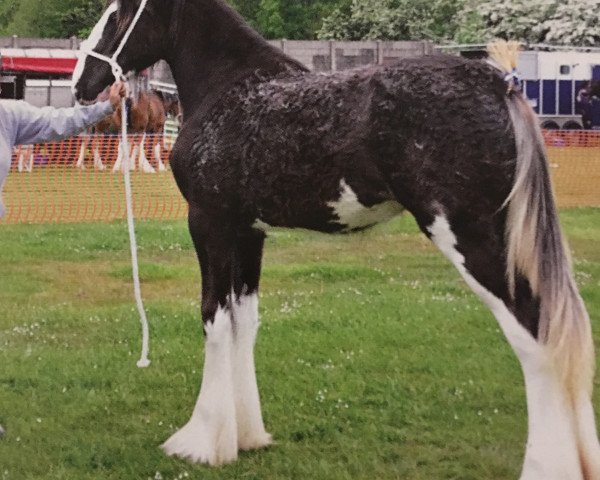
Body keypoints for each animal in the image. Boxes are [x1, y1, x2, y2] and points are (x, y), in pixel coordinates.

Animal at [71, 1, 600, 478]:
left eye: (120, 13)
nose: (81, 83)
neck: (232, 91)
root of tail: (497, 83)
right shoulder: (248, 234)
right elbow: (245, 323)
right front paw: (246, 437)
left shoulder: (210, 224)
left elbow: (214, 321)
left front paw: (203, 442)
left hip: (474, 241)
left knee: (538, 337)